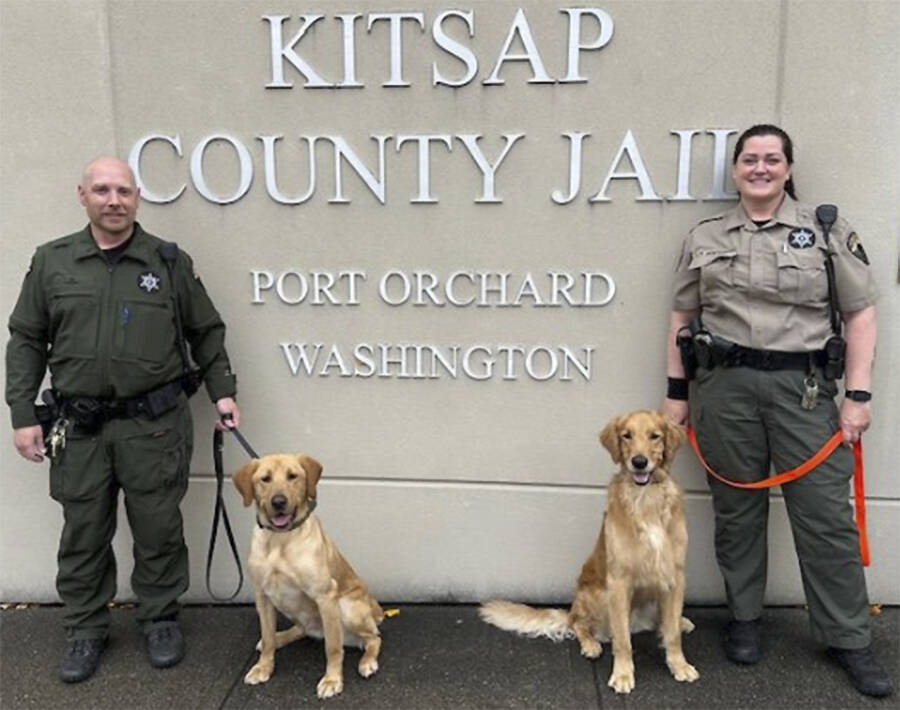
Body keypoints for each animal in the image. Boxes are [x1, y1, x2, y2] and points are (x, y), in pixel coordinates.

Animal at [232, 456, 384, 700]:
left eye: (293, 476)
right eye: (265, 479)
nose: (278, 502)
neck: (279, 540)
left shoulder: (325, 596)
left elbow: (333, 647)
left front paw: (332, 680)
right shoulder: (262, 596)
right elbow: (267, 636)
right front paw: (263, 667)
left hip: (347, 608)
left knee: (373, 638)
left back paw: (367, 662)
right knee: (296, 631)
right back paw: (279, 637)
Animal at [482, 412, 700, 696]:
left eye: (655, 436)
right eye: (626, 436)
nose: (639, 462)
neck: (645, 496)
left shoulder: (674, 576)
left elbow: (672, 634)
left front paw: (679, 665)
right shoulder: (619, 582)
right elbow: (622, 641)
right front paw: (622, 674)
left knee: (660, 623)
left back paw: (679, 622)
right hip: (597, 595)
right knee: (580, 625)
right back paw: (590, 645)